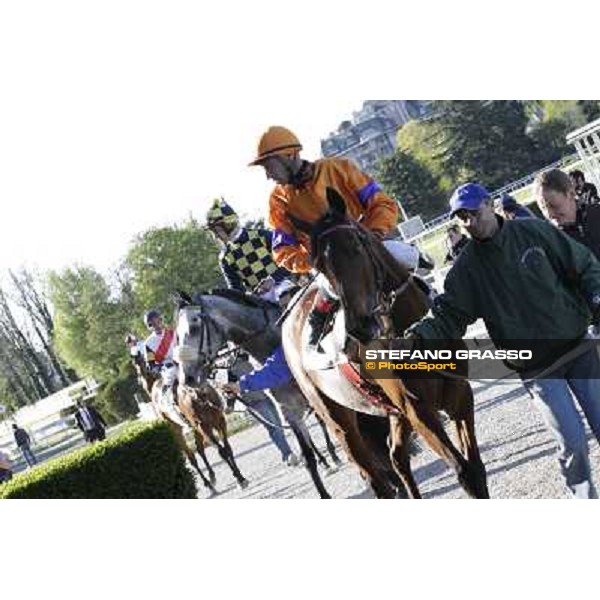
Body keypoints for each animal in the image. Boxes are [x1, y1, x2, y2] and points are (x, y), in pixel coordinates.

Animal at [284, 190, 490, 500]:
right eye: (319, 266)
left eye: (356, 244)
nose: (360, 327)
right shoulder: (418, 411)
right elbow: (464, 471)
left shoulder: (458, 393)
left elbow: (475, 468)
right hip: (341, 423)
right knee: (376, 480)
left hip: (391, 411)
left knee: (396, 456)